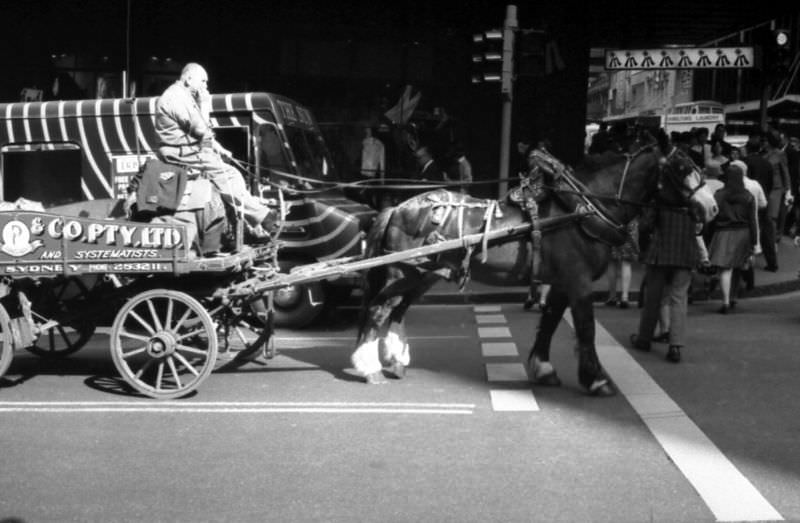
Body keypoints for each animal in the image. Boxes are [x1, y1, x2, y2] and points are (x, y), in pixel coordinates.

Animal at [352, 134, 720, 392]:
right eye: (681, 168)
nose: (712, 207)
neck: (582, 209)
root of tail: (397, 207)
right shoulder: (579, 282)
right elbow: (585, 328)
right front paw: (597, 379)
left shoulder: (562, 282)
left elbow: (551, 321)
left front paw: (544, 368)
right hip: (401, 273)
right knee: (378, 311)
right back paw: (371, 368)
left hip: (422, 274)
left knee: (397, 311)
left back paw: (394, 362)